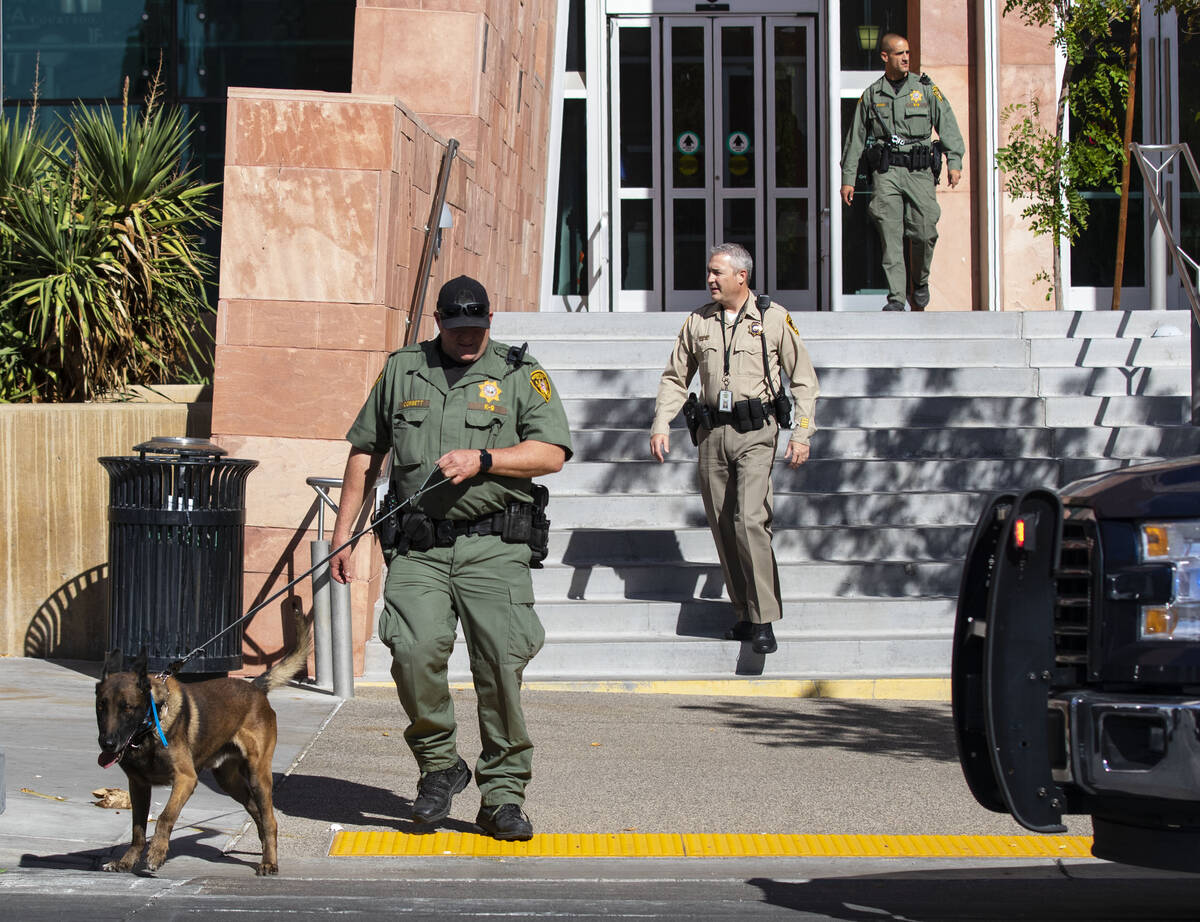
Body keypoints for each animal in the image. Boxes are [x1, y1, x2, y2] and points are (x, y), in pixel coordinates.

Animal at [96, 609, 312, 873]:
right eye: (101, 706)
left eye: (127, 708)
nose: (107, 744)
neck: (147, 730)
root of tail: (256, 687)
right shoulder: (138, 786)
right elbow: (138, 830)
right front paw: (127, 861)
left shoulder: (185, 779)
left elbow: (165, 817)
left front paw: (157, 852)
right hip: (229, 781)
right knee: (257, 812)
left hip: (257, 775)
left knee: (269, 819)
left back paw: (269, 861)